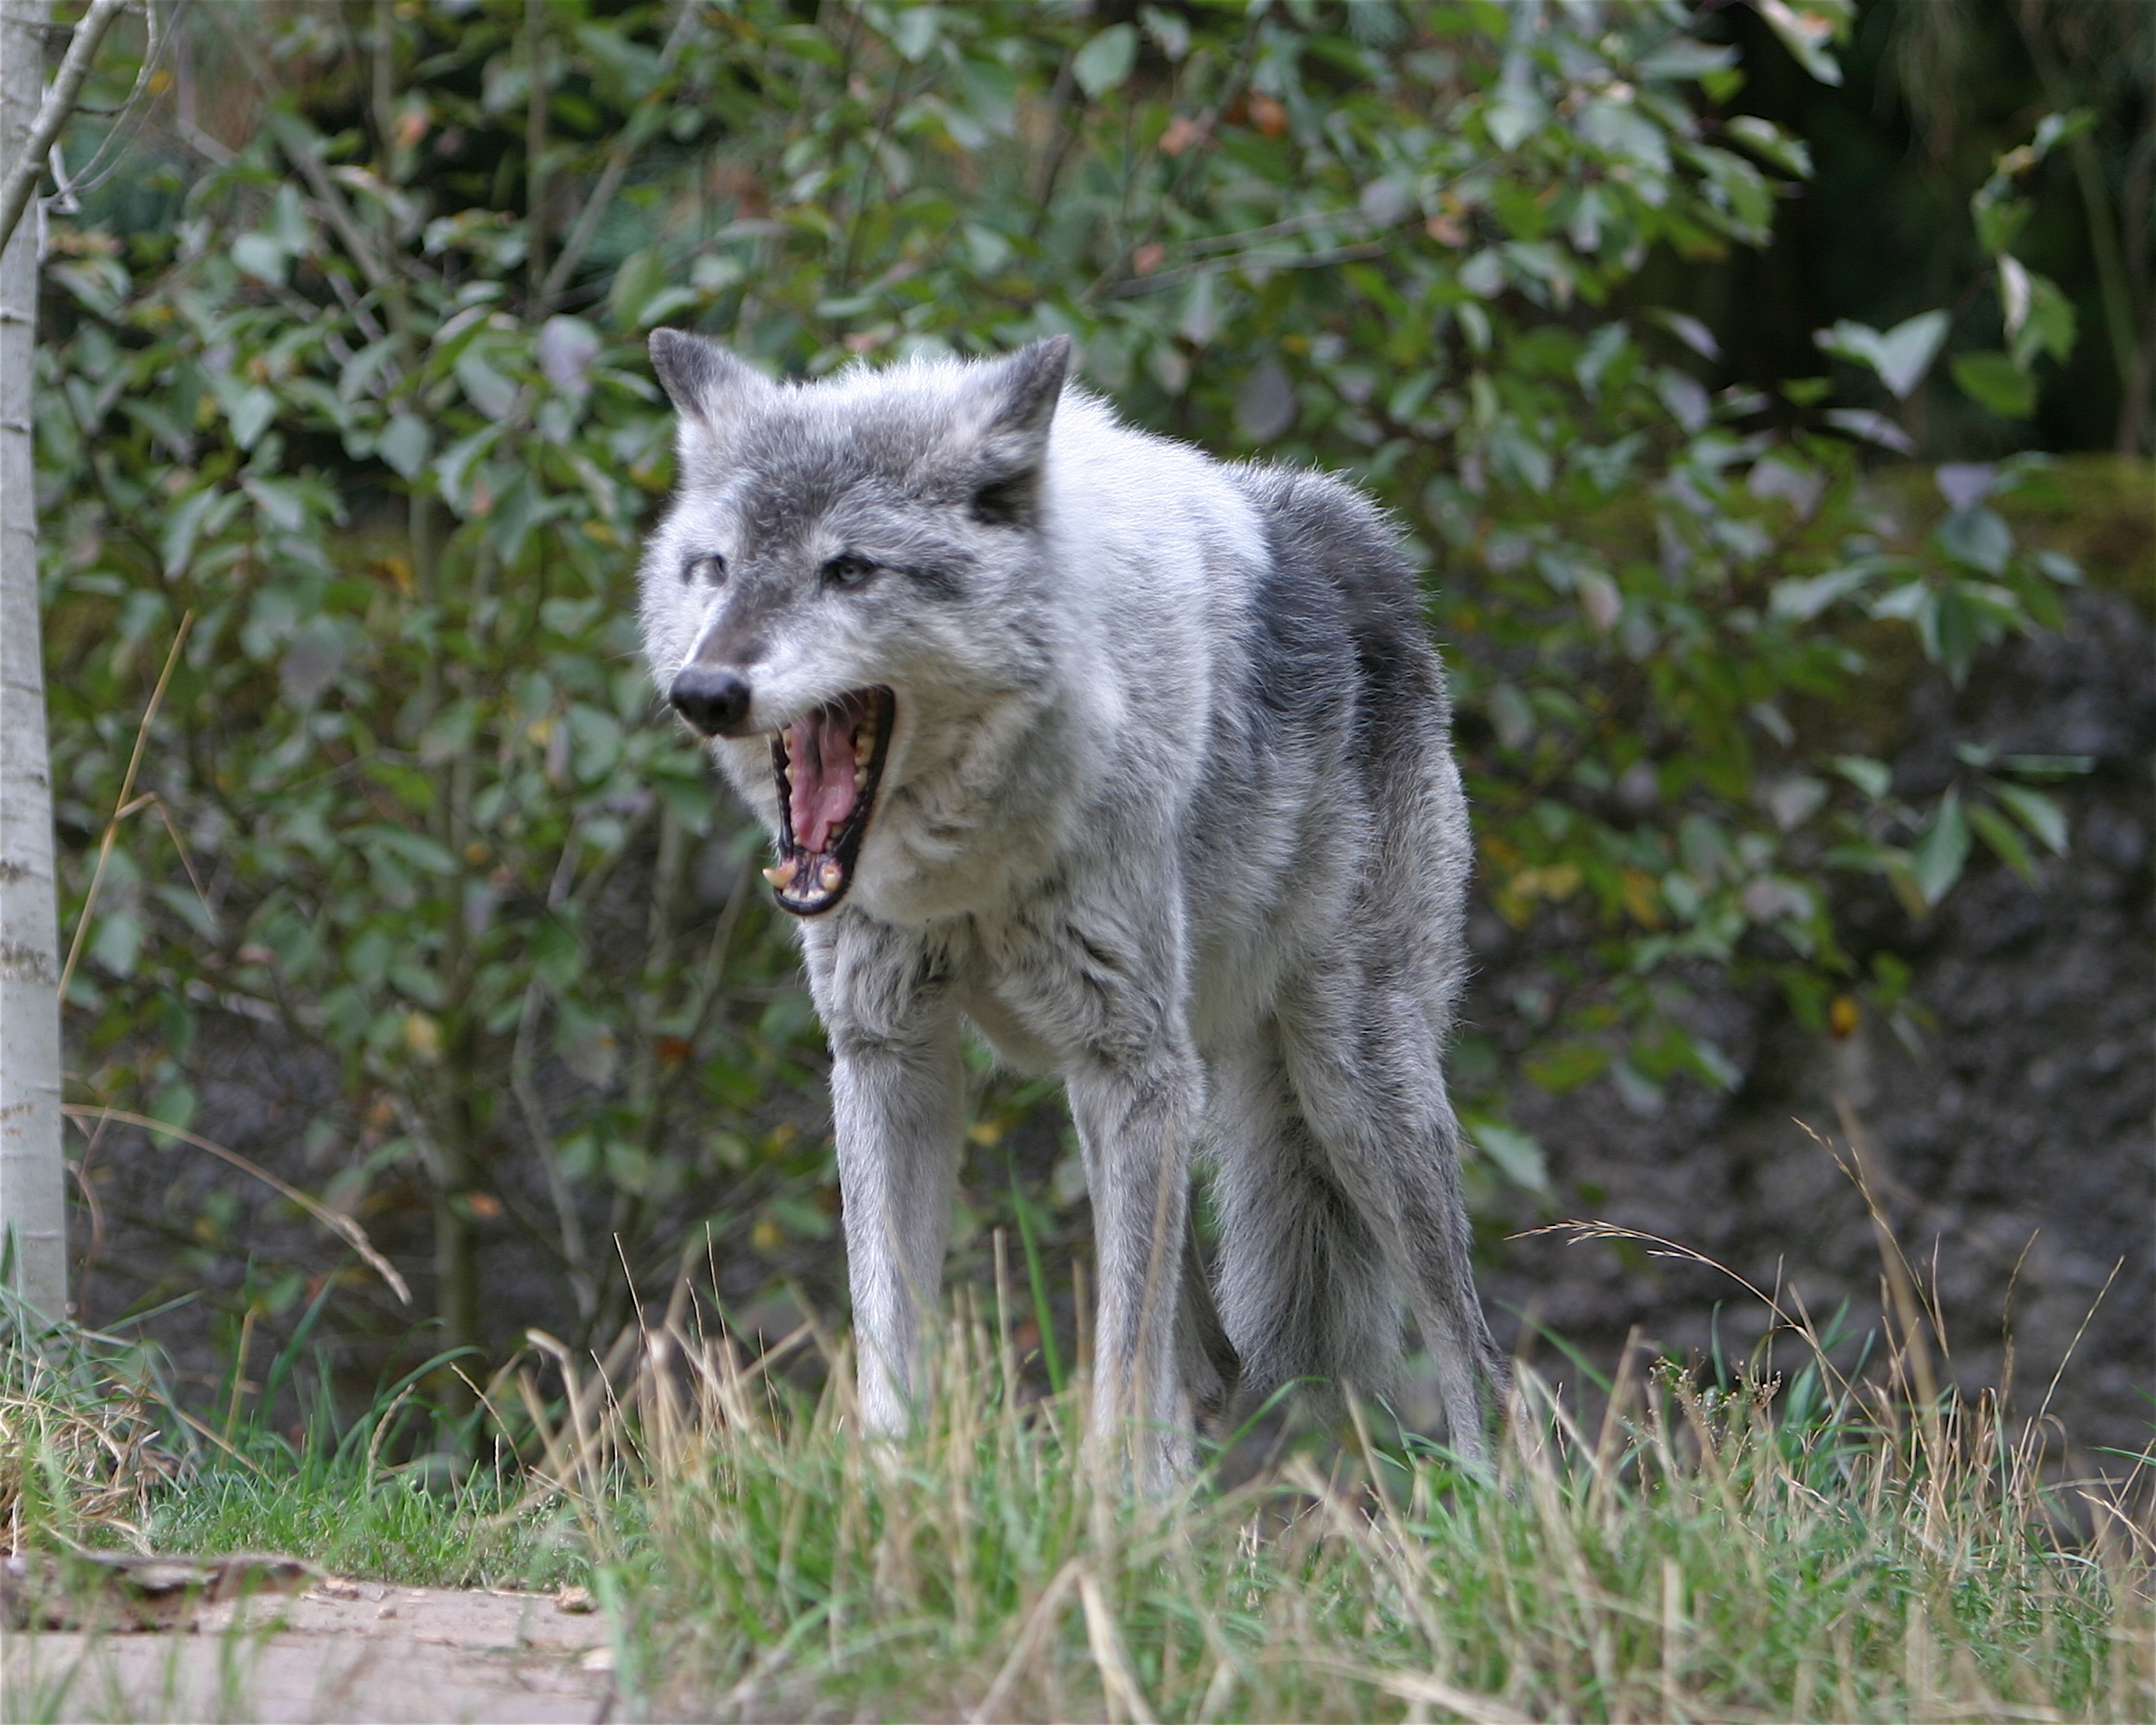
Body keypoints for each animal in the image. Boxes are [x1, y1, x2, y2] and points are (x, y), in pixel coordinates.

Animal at [638, 334, 1508, 1483]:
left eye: (849, 569)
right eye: (717, 567)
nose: (706, 691)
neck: (969, 865)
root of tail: (1356, 536)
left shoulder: (1128, 1063)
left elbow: (1119, 1364)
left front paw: (1111, 1515)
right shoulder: (888, 1058)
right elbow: (888, 1337)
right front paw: (892, 1499)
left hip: (1345, 1082)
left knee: (1470, 1348)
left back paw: (1499, 1506)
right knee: (1209, 1361)